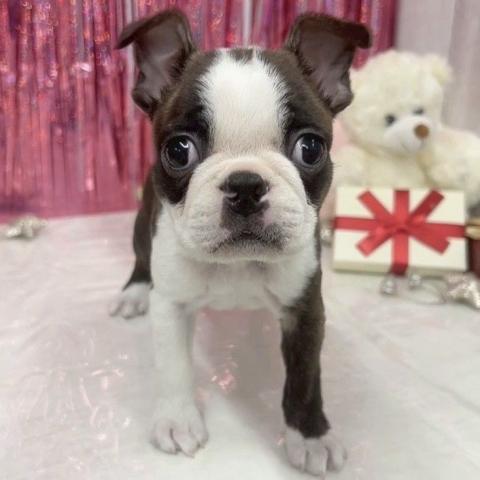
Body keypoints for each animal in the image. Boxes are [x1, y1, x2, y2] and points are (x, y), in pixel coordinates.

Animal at [111, 9, 370, 476]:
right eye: (179, 150)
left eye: (310, 148)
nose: (246, 185)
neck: (238, 266)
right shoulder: (171, 303)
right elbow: (174, 365)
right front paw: (178, 419)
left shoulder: (306, 309)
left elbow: (305, 377)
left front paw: (311, 435)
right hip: (142, 223)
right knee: (140, 258)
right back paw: (134, 292)